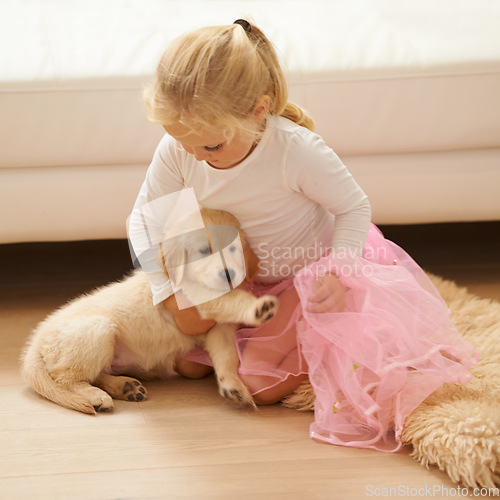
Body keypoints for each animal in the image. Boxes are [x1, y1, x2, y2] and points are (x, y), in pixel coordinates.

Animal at [21, 207, 280, 414]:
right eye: (204, 251)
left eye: (234, 249)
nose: (230, 275)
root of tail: (37, 341)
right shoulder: (198, 297)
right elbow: (233, 299)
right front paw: (259, 307)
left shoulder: (219, 330)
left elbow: (226, 356)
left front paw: (234, 387)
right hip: (98, 330)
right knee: (66, 378)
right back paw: (97, 396)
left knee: (95, 374)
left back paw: (125, 387)